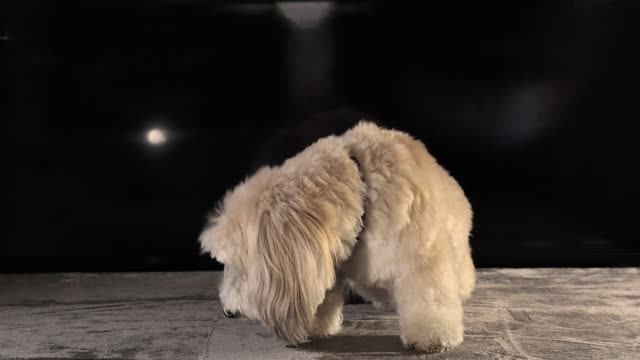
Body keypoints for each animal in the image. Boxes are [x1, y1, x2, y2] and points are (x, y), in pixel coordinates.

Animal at [200, 121, 476, 352]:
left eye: (240, 267)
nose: (226, 312)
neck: (361, 187)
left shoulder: (421, 254)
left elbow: (429, 295)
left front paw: (432, 334)